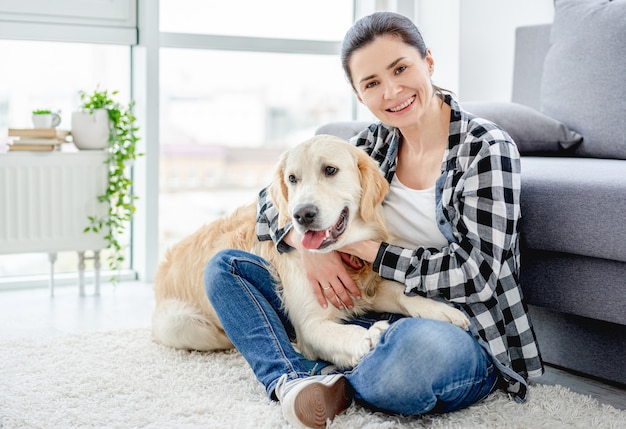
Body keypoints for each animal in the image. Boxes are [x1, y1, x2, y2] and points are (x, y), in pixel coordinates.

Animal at [151, 135, 466, 368]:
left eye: (330, 170)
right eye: (292, 178)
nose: (302, 214)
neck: (342, 254)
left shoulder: (364, 289)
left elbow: (400, 292)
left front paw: (442, 310)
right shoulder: (311, 325)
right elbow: (343, 333)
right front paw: (370, 337)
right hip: (187, 326)